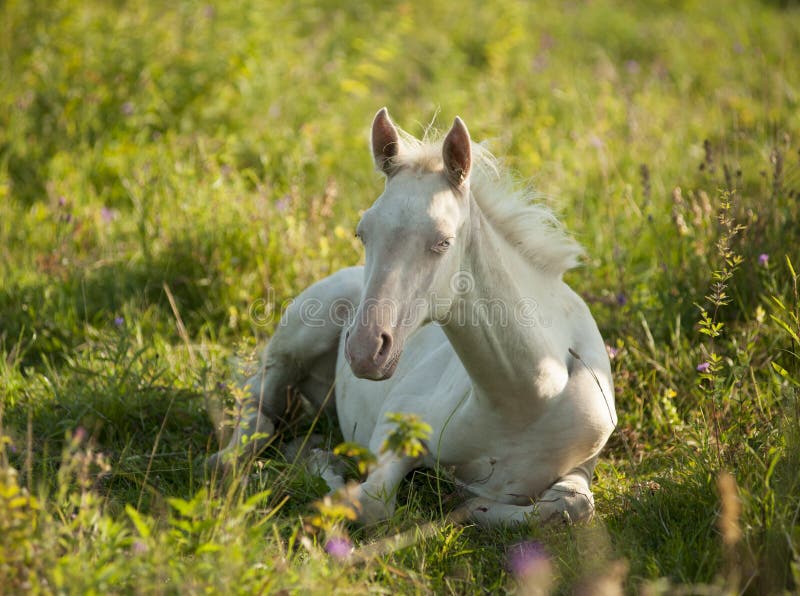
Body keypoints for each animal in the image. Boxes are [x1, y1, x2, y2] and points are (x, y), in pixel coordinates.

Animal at [209, 108, 616, 528]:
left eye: (443, 241)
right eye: (362, 233)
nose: (364, 351)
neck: (528, 399)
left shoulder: (582, 466)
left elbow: (573, 505)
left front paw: (468, 505)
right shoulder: (396, 425)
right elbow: (366, 502)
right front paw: (323, 467)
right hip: (294, 343)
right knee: (258, 409)